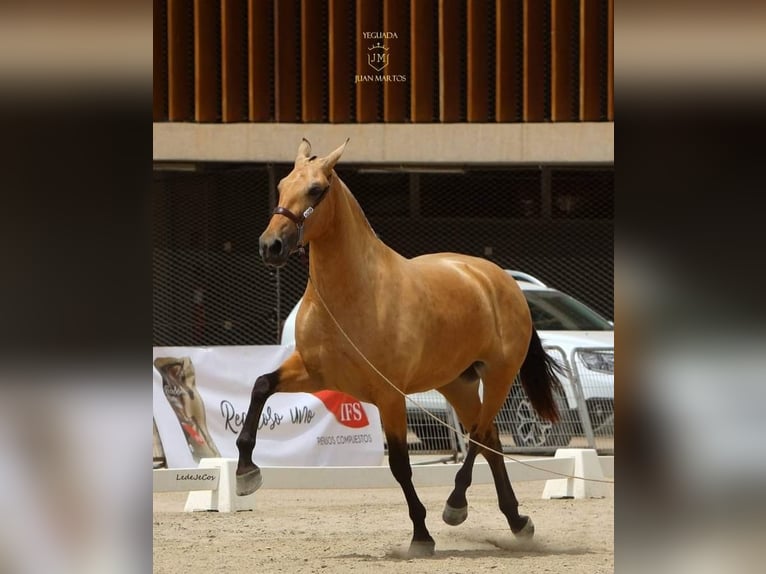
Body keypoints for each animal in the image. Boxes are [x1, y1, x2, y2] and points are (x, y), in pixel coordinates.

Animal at [236, 140, 564, 560]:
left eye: (316, 189)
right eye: (280, 186)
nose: (270, 245)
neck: (355, 292)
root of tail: (500, 280)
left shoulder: (389, 396)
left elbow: (400, 465)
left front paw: (421, 535)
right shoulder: (314, 372)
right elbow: (261, 385)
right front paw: (246, 472)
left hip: (498, 377)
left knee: (478, 437)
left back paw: (456, 506)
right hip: (456, 384)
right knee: (490, 440)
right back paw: (517, 522)